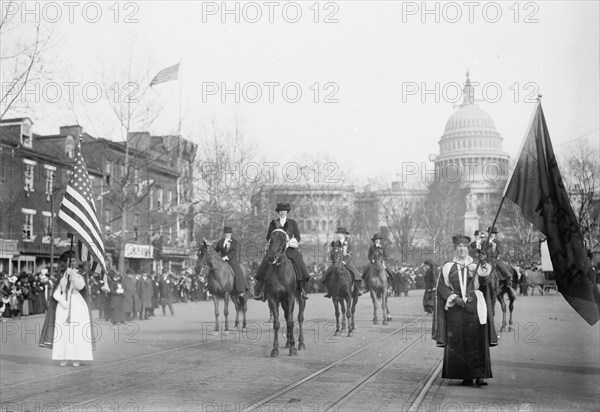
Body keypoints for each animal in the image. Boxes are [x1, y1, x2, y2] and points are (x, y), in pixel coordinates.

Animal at [264, 229, 308, 358]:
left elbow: (291, 322)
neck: (280, 270)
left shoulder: (291, 296)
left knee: (300, 317)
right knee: (286, 315)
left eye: (283, 239)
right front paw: (275, 349)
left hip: (300, 298)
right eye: (271, 239)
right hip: (283, 302)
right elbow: (277, 323)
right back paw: (288, 342)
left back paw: (300, 343)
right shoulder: (273, 298)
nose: (271, 257)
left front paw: (293, 349)